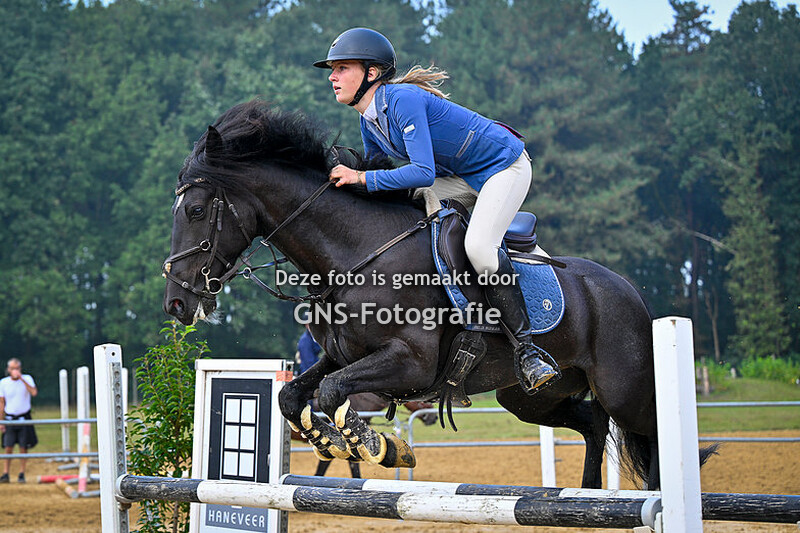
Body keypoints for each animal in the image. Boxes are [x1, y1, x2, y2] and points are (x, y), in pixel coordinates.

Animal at [163, 99, 713, 489]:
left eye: (195, 211)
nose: (177, 303)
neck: (356, 252)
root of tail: (630, 292)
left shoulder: (411, 363)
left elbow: (333, 393)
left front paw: (379, 446)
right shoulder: (342, 355)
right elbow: (293, 394)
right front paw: (336, 442)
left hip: (625, 389)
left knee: (652, 434)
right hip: (530, 397)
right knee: (594, 424)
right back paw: (589, 495)